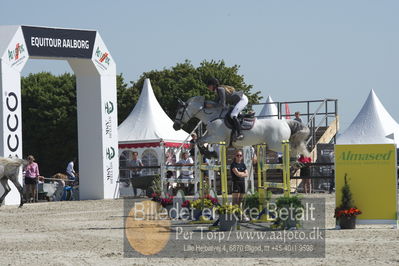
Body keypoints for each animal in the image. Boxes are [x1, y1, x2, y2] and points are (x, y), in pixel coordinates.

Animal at [171, 96, 310, 157]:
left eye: (179, 111)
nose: (175, 126)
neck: (213, 116)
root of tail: (285, 122)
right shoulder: (212, 137)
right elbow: (199, 140)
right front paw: (209, 153)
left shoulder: (216, 137)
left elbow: (199, 141)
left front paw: (208, 153)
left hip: (277, 144)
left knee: (292, 150)